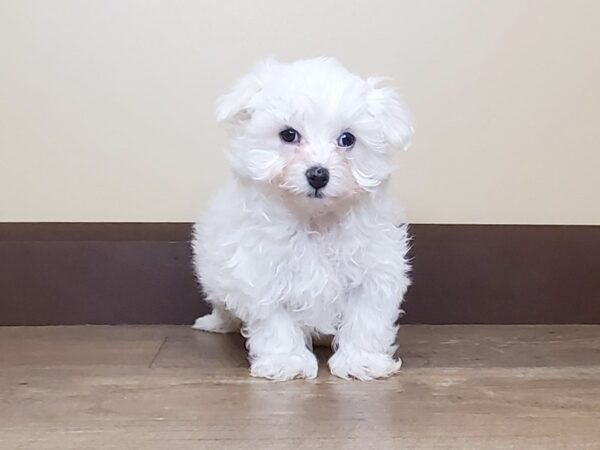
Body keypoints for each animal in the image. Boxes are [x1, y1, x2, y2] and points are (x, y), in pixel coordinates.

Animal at [192, 56, 412, 380]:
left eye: (347, 139)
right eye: (288, 134)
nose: (318, 174)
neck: (315, 220)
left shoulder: (375, 270)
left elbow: (366, 318)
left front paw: (361, 361)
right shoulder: (262, 272)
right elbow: (275, 322)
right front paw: (287, 361)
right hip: (214, 271)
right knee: (222, 302)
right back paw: (215, 322)